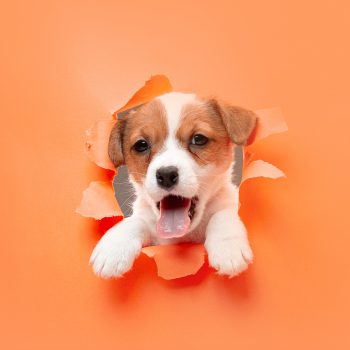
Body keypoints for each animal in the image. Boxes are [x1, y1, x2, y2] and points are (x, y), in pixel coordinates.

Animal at [90, 91, 258, 278]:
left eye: (198, 139)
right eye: (141, 145)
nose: (166, 175)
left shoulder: (229, 202)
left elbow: (222, 214)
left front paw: (228, 246)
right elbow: (134, 222)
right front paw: (114, 247)